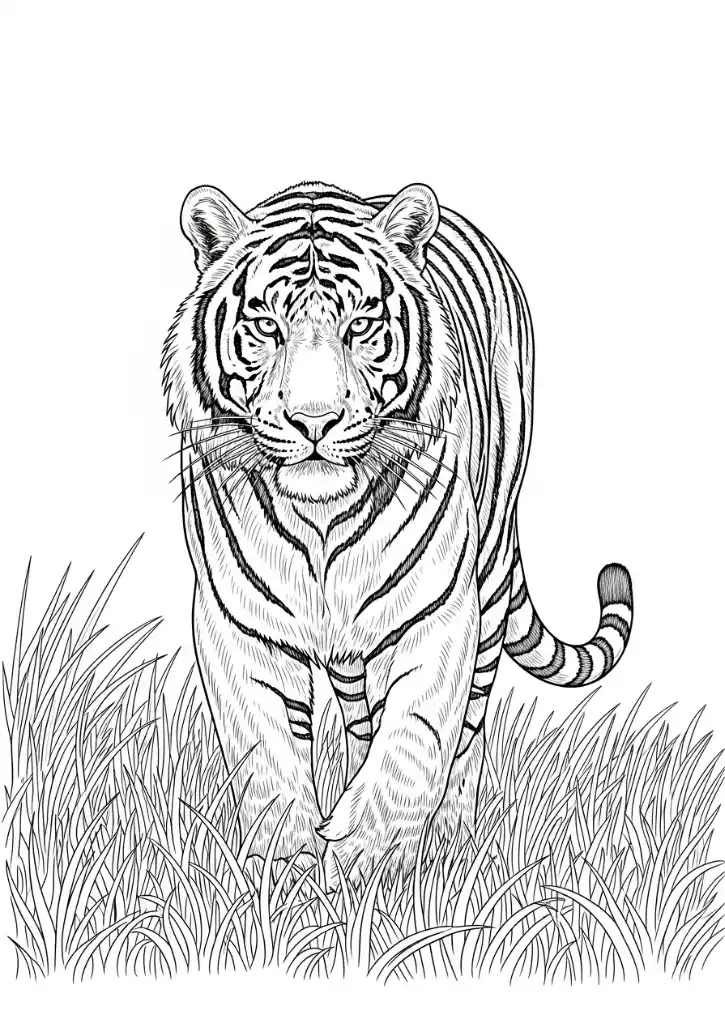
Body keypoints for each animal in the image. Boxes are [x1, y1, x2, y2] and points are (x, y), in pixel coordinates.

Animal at [161, 180, 633, 885]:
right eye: (267, 327)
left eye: (360, 326)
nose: (315, 421)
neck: (320, 524)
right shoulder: (237, 625)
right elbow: (265, 751)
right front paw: (282, 866)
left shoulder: (438, 616)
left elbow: (413, 743)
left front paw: (365, 864)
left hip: (490, 582)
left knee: (465, 730)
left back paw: (453, 828)